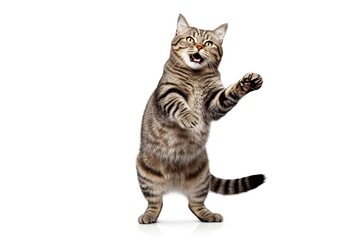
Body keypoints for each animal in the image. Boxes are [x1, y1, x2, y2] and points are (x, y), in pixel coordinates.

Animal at [136, 14, 264, 224]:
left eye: (209, 43)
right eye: (190, 39)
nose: (198, 47)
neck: (196, 75)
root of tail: (175, 184)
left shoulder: (214, 103)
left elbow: (229, 93)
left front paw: (248, 83)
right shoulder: (169, 92)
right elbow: (179, 105)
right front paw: (189, 117)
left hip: (201, 180)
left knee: (195, 204)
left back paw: (209, 215)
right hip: (147, 177)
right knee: (156, 203)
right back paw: (149, 216)